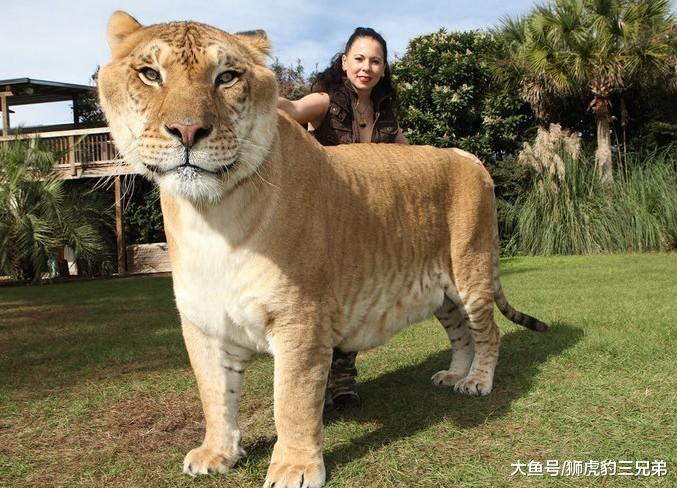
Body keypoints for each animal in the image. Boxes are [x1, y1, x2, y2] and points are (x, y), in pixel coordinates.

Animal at [97, 11, 547, 488]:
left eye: (227, 77)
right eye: (150, 74)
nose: (187, 131)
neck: (211, 217)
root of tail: (468, 156)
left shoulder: (301, 319)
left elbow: (292, 401)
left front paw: (294, 468)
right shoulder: (204, 323)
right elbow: (214, 394)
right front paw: (217, 453)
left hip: (470, 271)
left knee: (488, 331)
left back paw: (476, 382)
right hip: (442, 290)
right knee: (461, 331)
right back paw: (455, 373)